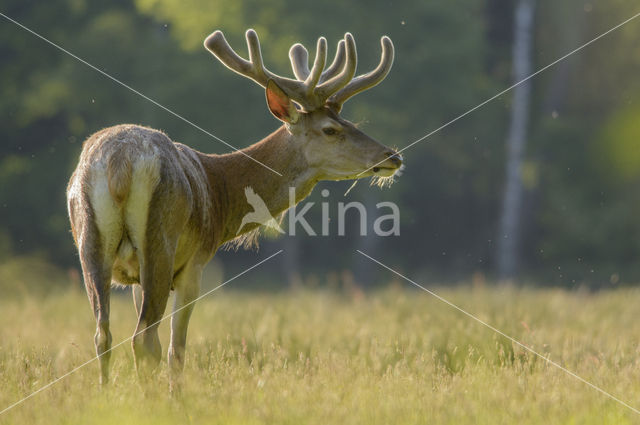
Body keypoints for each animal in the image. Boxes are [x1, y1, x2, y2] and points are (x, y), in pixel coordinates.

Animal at [67, 28, 402, 390]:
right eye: (331, 129)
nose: (392, 156)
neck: (220, 193)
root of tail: (119, 163)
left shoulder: (135, 280)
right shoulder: (194, 263)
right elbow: (177, 350)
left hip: (90, 241)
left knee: (103, 335)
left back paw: (107, 393)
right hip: (160, 241)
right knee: (145, 340)